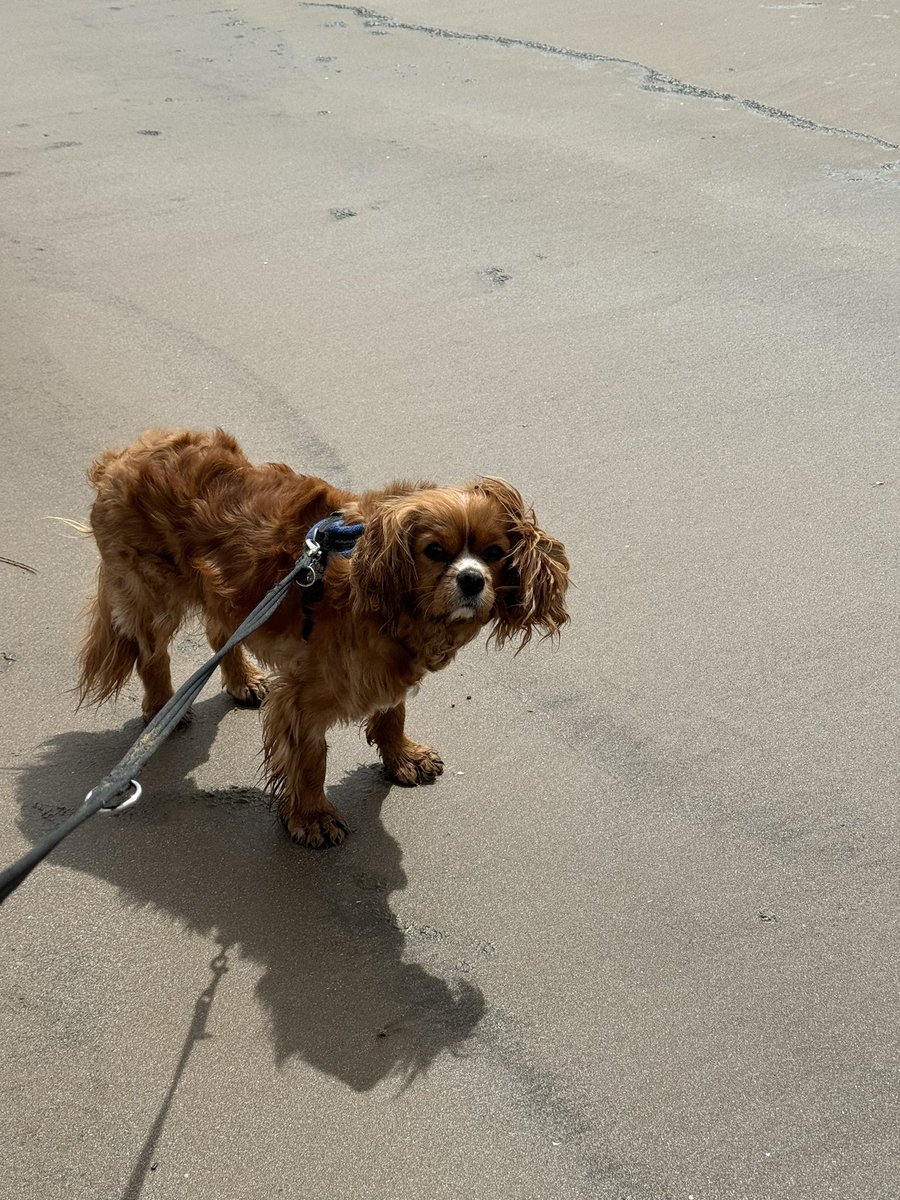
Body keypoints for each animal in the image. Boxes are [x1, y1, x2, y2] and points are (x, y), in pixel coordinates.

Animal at [77, 429, 571, 844]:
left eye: (495, 553)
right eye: (435, 551)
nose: (472, 580)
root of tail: (122, 457)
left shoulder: (384, 671)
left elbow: (393, 713)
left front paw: (401, 757)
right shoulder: (303, 698)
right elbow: (311, 761)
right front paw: (312, 816)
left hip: (233, 597)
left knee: (222, 633)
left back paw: (242, 681)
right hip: (150, 593)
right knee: (153, 654)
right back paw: (162, 711)